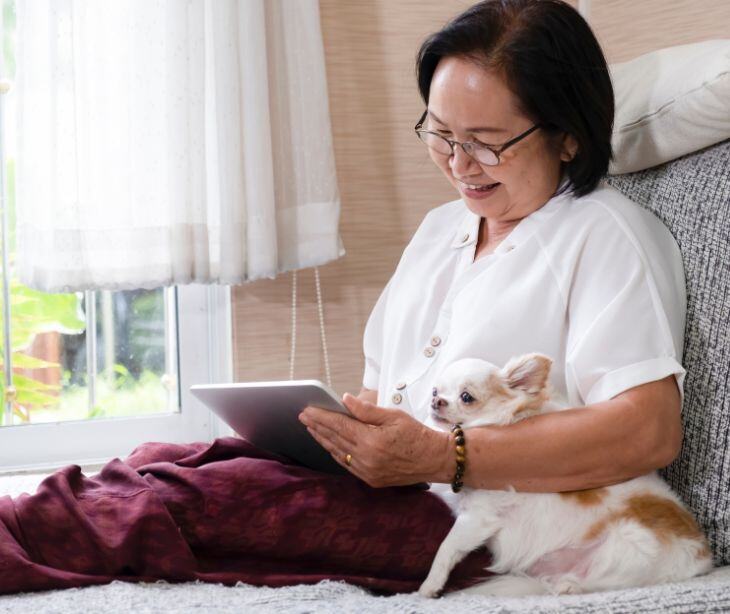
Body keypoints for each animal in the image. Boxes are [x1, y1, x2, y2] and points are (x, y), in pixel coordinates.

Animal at [418, 354, 708, 600]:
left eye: (466, 397)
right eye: (435, 391)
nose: (435, 401)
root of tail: (702, 557)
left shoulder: (478, 517)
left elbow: (447, 547)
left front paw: (430, 585)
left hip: (629, 544)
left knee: (610, 580)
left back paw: (569, 585)